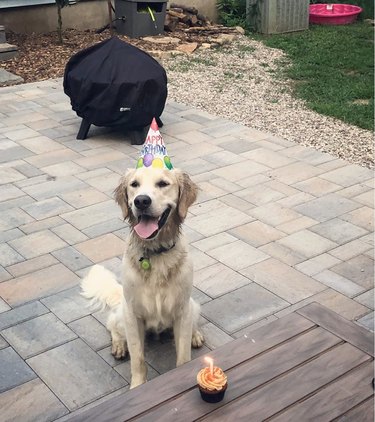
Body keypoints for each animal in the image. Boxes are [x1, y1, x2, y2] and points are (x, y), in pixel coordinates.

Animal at [82, 166, 204, 390]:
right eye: (134, 185)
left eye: (163, 183)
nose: (141, 201)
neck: (155, 253)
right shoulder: (132, 314)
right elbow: (138, 359)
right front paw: (138, 386)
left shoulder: (182, 309)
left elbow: (183, 355)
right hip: (121, 314)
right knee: (111, 324)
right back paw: (119, 346)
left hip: (193, 305)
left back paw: (195, 335)